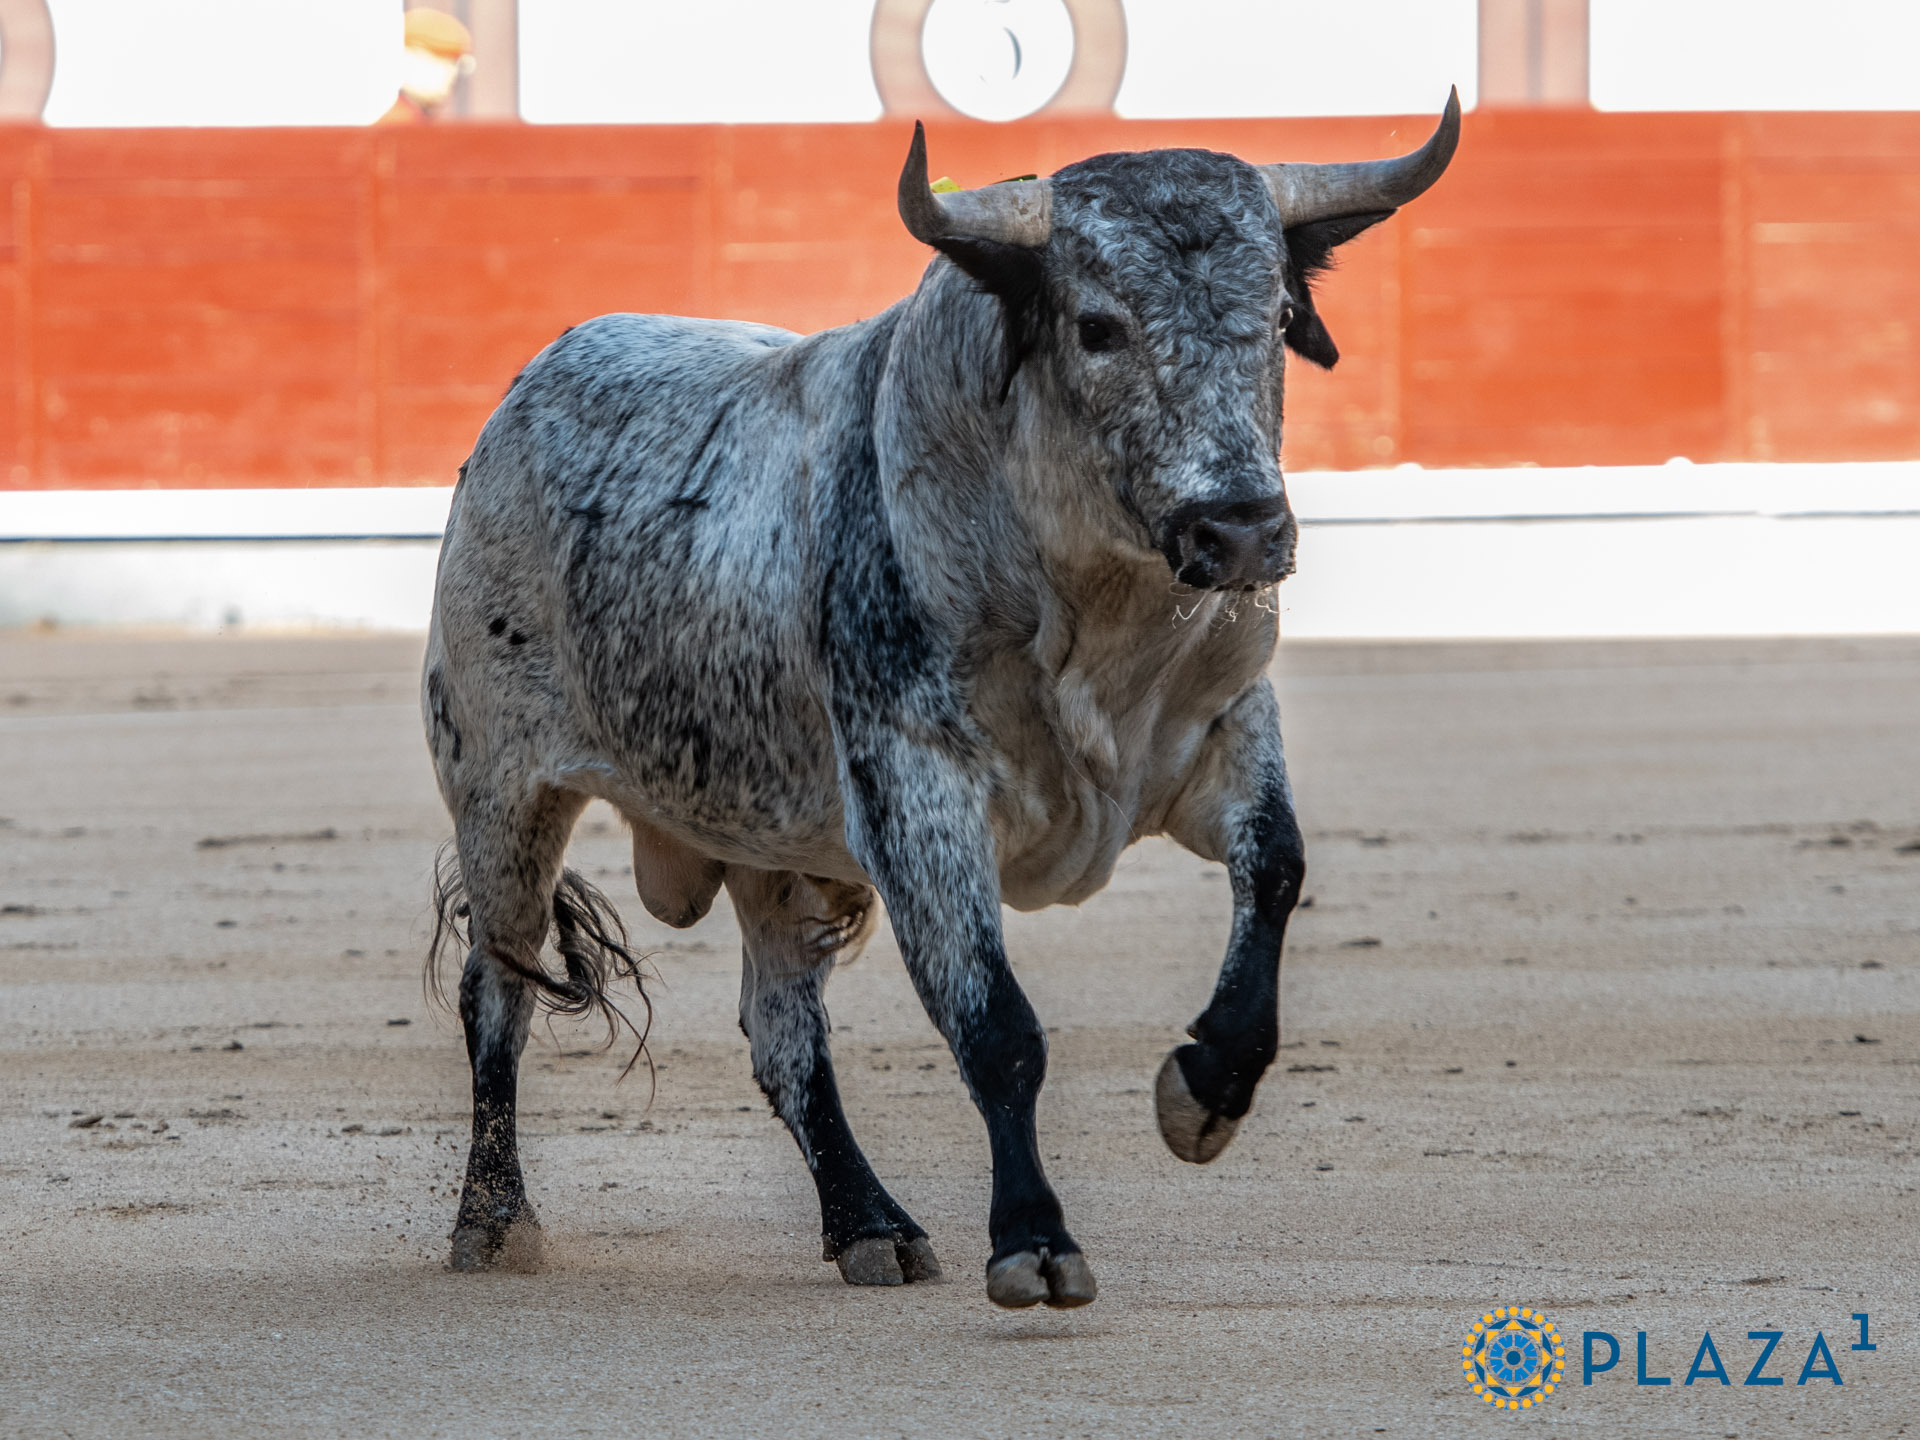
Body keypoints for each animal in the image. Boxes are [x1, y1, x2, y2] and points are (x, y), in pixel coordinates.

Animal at [428, 96, 1459, 1313]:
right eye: (1098, 327)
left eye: (1280, 316)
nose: (1243, 530)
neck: (1096, 613)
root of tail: (529, 385)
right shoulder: (917, 790)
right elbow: (995, 1022)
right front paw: (1034, 1242)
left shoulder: (1227, 729)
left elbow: (1281, 873)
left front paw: (1205, 1088)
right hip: (503, 791)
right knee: (498, 992)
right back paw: (494, 1221)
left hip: (772, 844)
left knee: (782, 1031)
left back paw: (867, 1224)